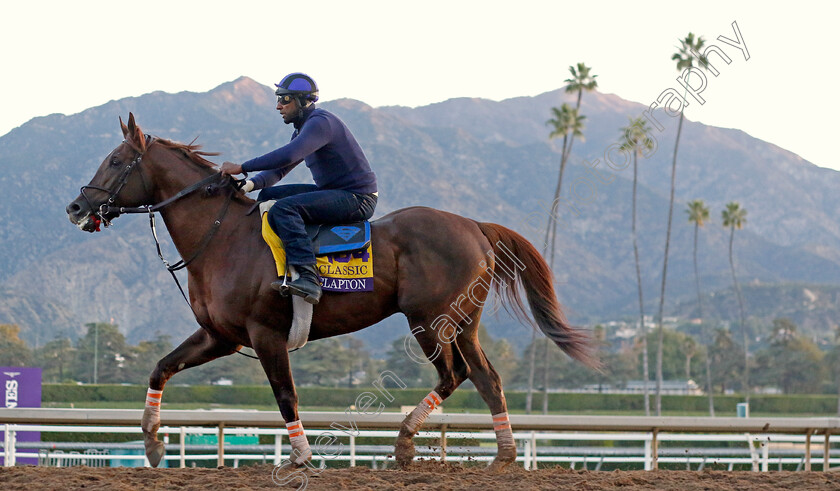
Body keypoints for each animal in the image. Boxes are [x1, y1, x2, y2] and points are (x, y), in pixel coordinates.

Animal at [69, 112, 600, 472]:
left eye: (115, 160)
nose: (76, 207)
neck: (222, 237)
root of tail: (473, 224)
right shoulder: (220, 335)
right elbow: (160, 368)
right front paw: (152, 441)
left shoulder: (265, 334)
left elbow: (285, 395)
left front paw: (301, 457)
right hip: (464, 322)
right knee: (487, 378)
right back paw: (504, 456)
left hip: (429, 320)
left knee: (456, 374)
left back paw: (404, 443)